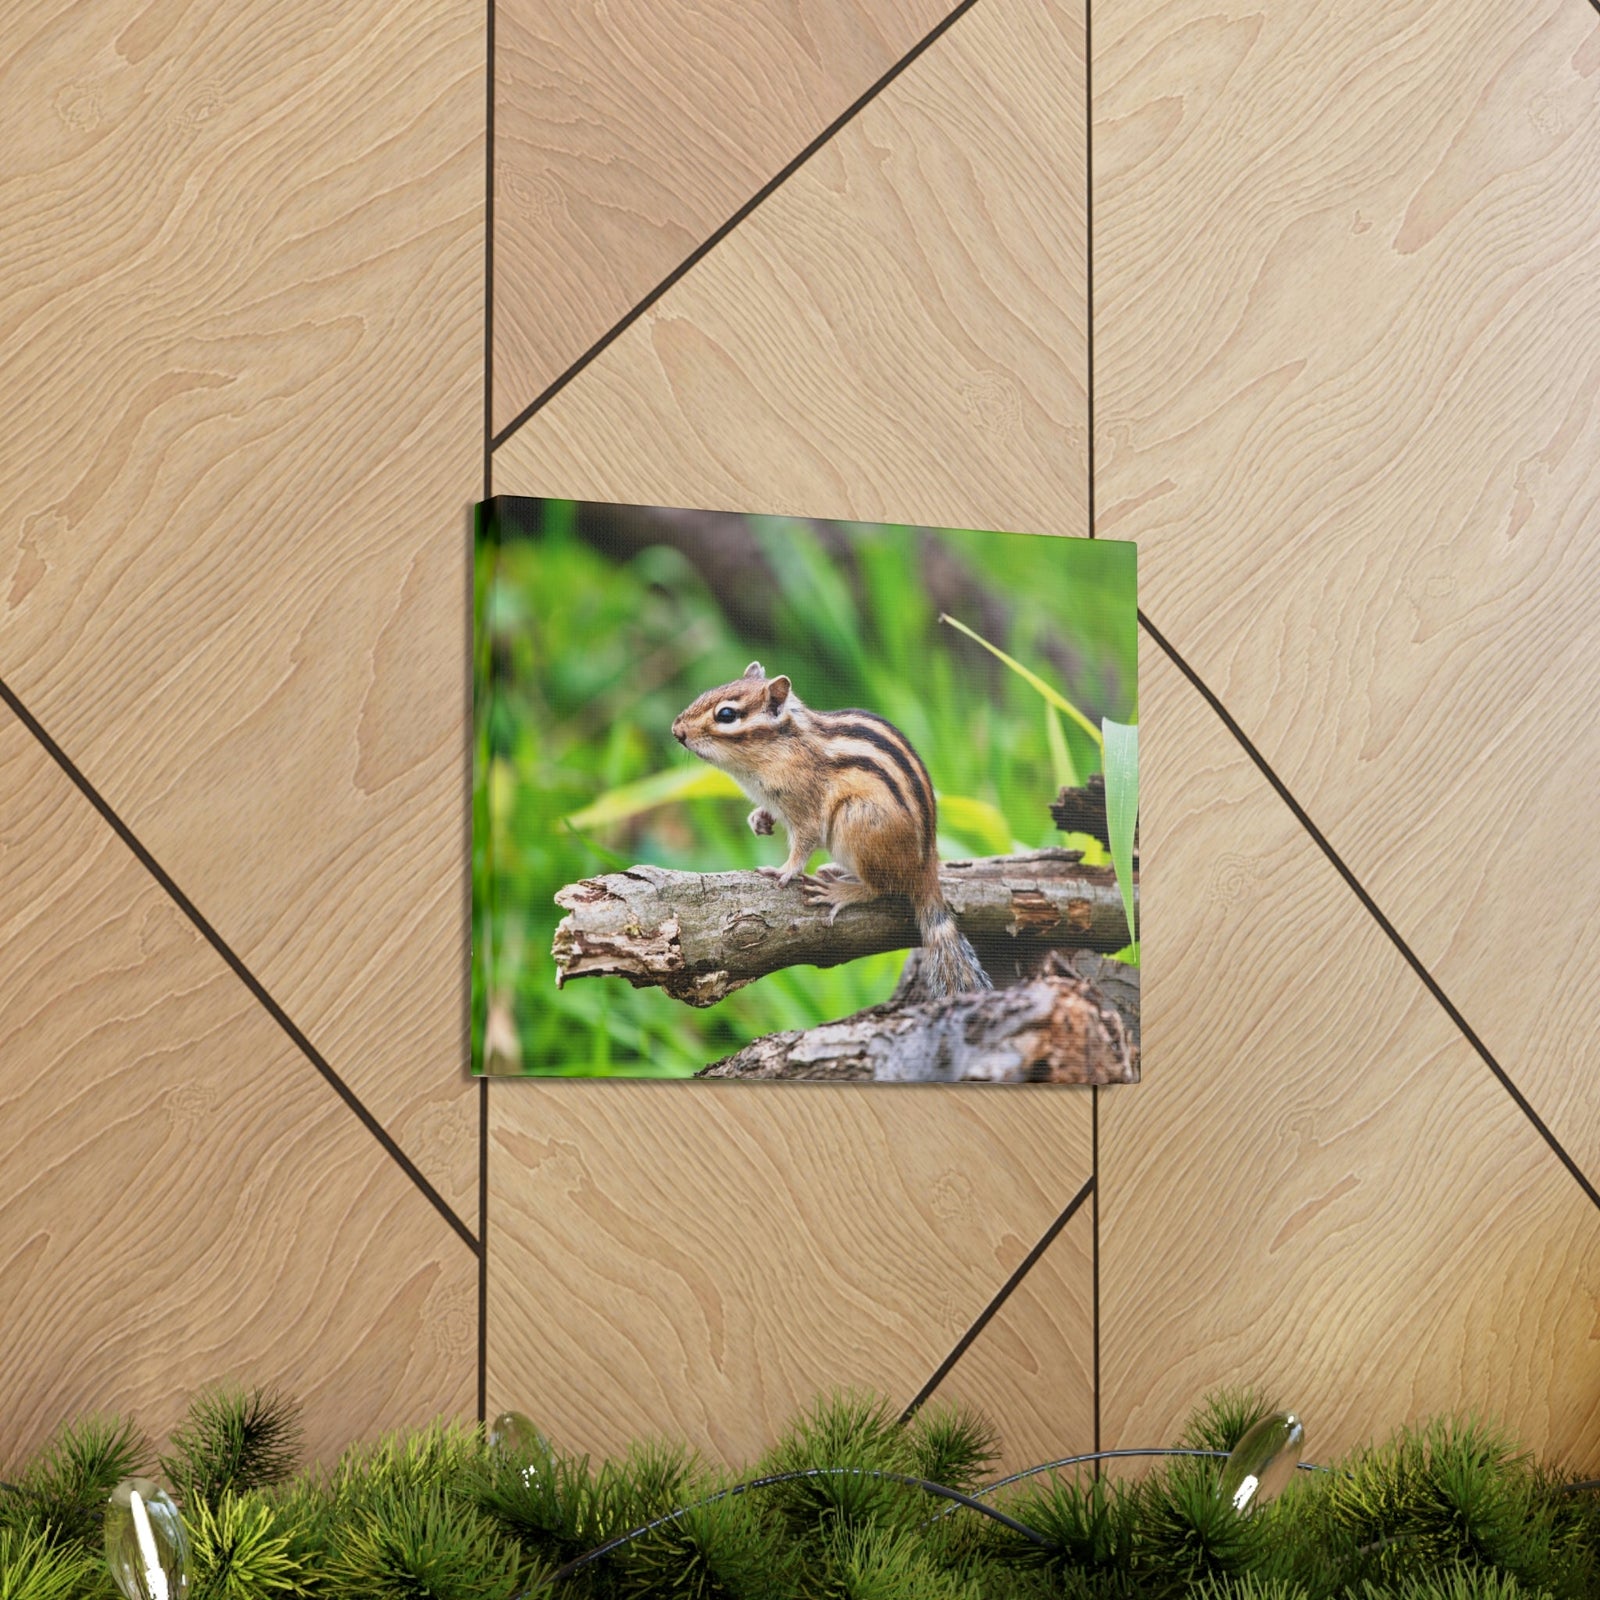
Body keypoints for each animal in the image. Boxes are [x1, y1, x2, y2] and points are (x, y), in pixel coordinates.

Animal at [671, 661, 992, 996]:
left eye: (726, 715)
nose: (676, 731)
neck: (782, 747)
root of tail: (926, 869)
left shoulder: (806, 806)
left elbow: (804, 842)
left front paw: (784, 870)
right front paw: (759, 819)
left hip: (856, 821)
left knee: (880, 888)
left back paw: (840, 890)